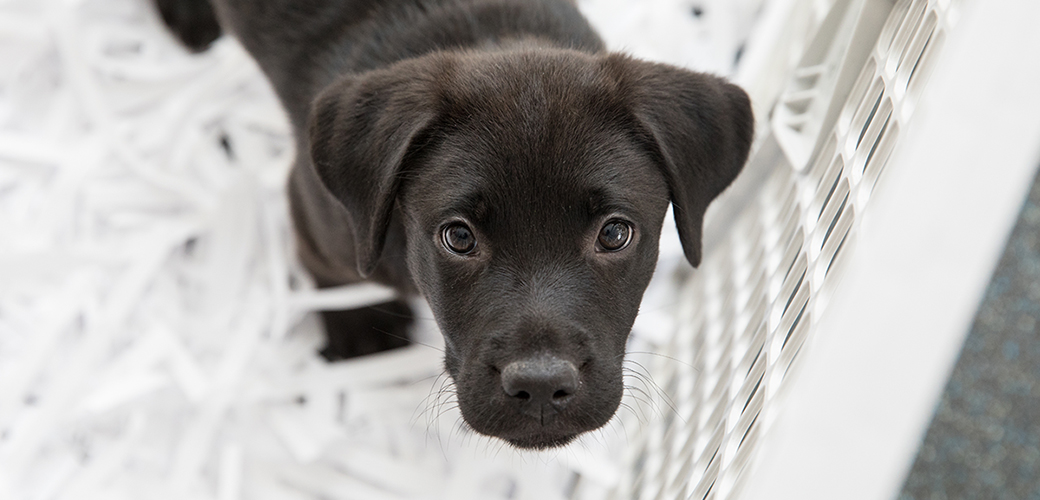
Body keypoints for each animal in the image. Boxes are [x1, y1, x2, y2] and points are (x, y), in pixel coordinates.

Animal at [158, 0, 752, 449]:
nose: (540, 388)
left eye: (614, 233)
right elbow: (337, 278)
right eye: (459, 236)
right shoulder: (316, 219)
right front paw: (362, 338)